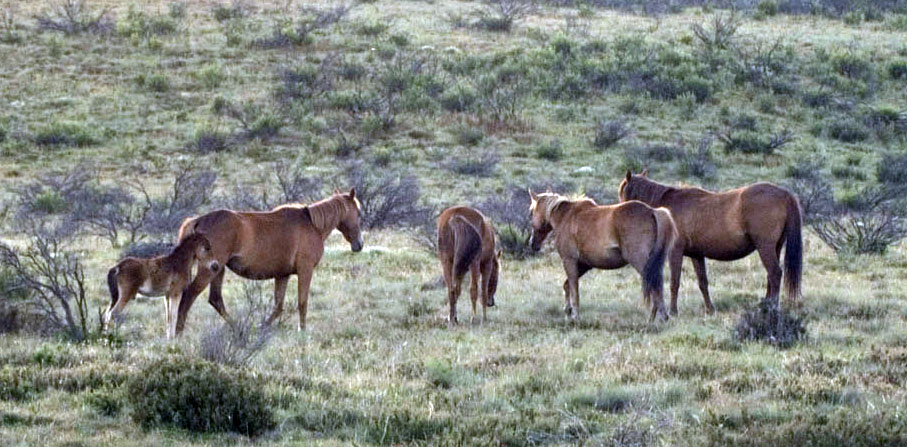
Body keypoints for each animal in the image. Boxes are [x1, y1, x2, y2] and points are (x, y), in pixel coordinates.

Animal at [173, 189, 362, 336]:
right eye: (359, 213)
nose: (359, 244)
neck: (313, 225)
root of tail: (200, 220)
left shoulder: (282, 275)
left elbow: (278, 307)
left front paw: (262, 328)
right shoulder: (305, 270)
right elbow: (302, 302)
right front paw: (302, 331)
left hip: (218, 269)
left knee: (216, 300)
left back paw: (238, 329)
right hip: (209, 270)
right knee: (189, 296)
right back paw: (178, 334)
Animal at [528, 190, 676, 322]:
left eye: (532, 212)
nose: (532, 243)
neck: (566, 217)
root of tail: (653, 211)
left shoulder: (569, 261)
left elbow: (574, 289)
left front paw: (575, 315)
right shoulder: (584, 265)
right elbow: (567, 285)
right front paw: (568, 311)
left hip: (642, 264)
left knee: (654, 287)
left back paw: (658, 317)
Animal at [620, 170, 804, 314]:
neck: (668, 207)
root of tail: (784, 194)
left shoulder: (675, 253)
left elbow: (674, 282)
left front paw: (673, 311)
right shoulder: (696, 255)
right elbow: (703, 282)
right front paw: (710, 309)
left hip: (765, 247)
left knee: (775, 273)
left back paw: (772, 307)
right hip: (775, 248)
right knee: (770, 276)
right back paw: (765, 305)